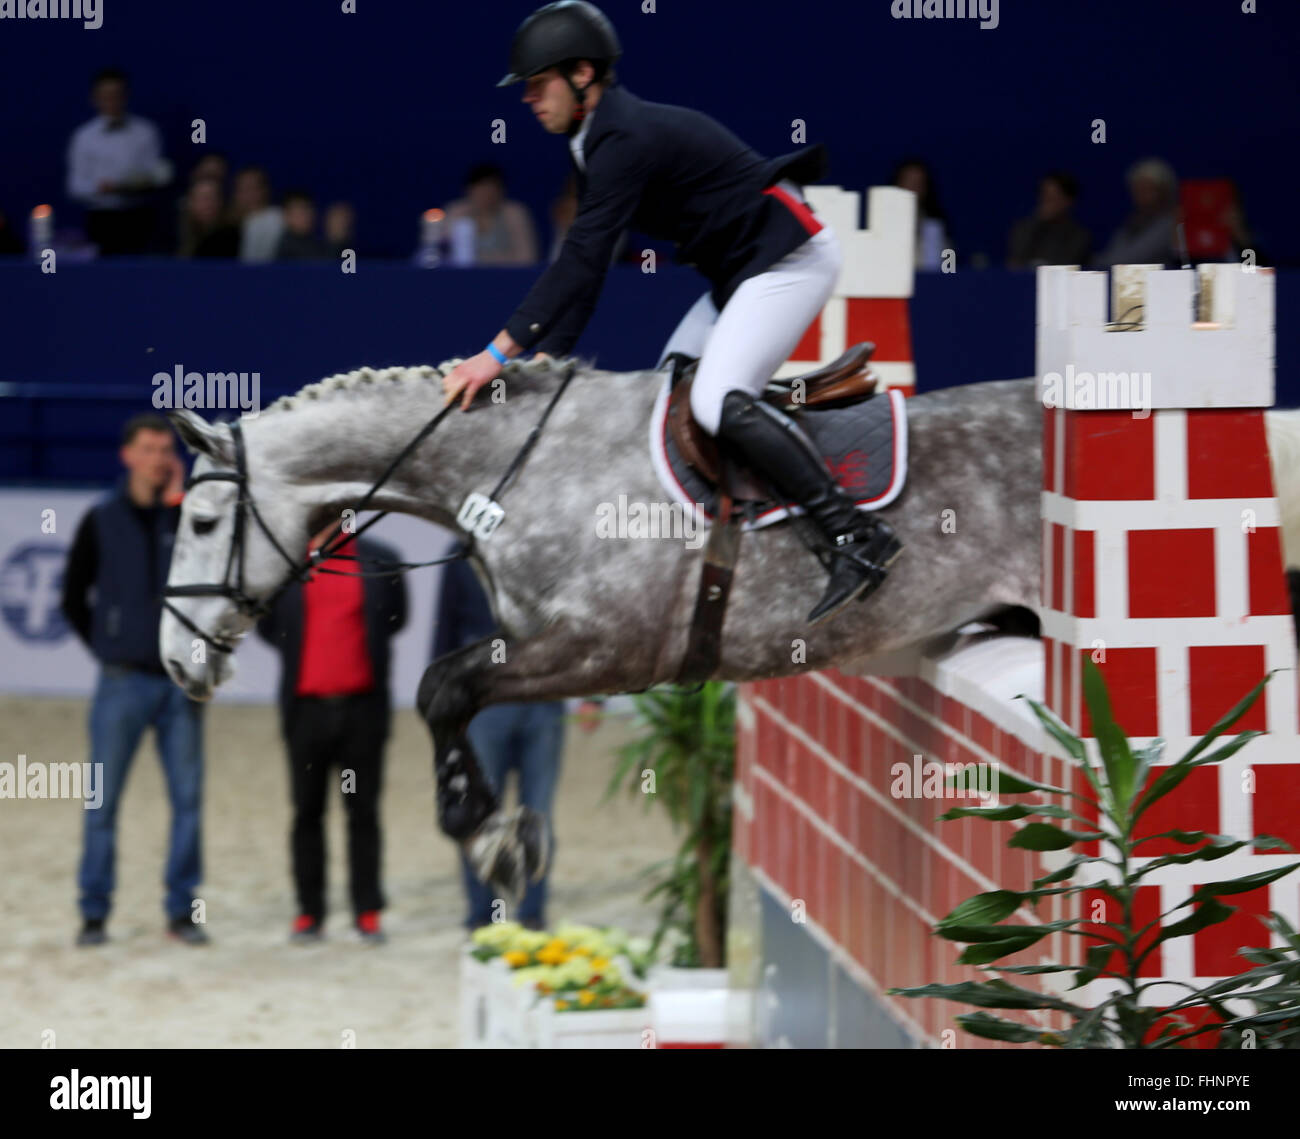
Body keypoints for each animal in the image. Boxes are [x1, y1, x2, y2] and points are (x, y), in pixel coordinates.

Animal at [158, 356, 1043, 897]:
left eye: (201, 521)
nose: (176, 663)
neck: (513, 469)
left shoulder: (607, 648)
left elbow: (442, 686)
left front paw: (491, 835)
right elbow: (447, 691)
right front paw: (491, 827)